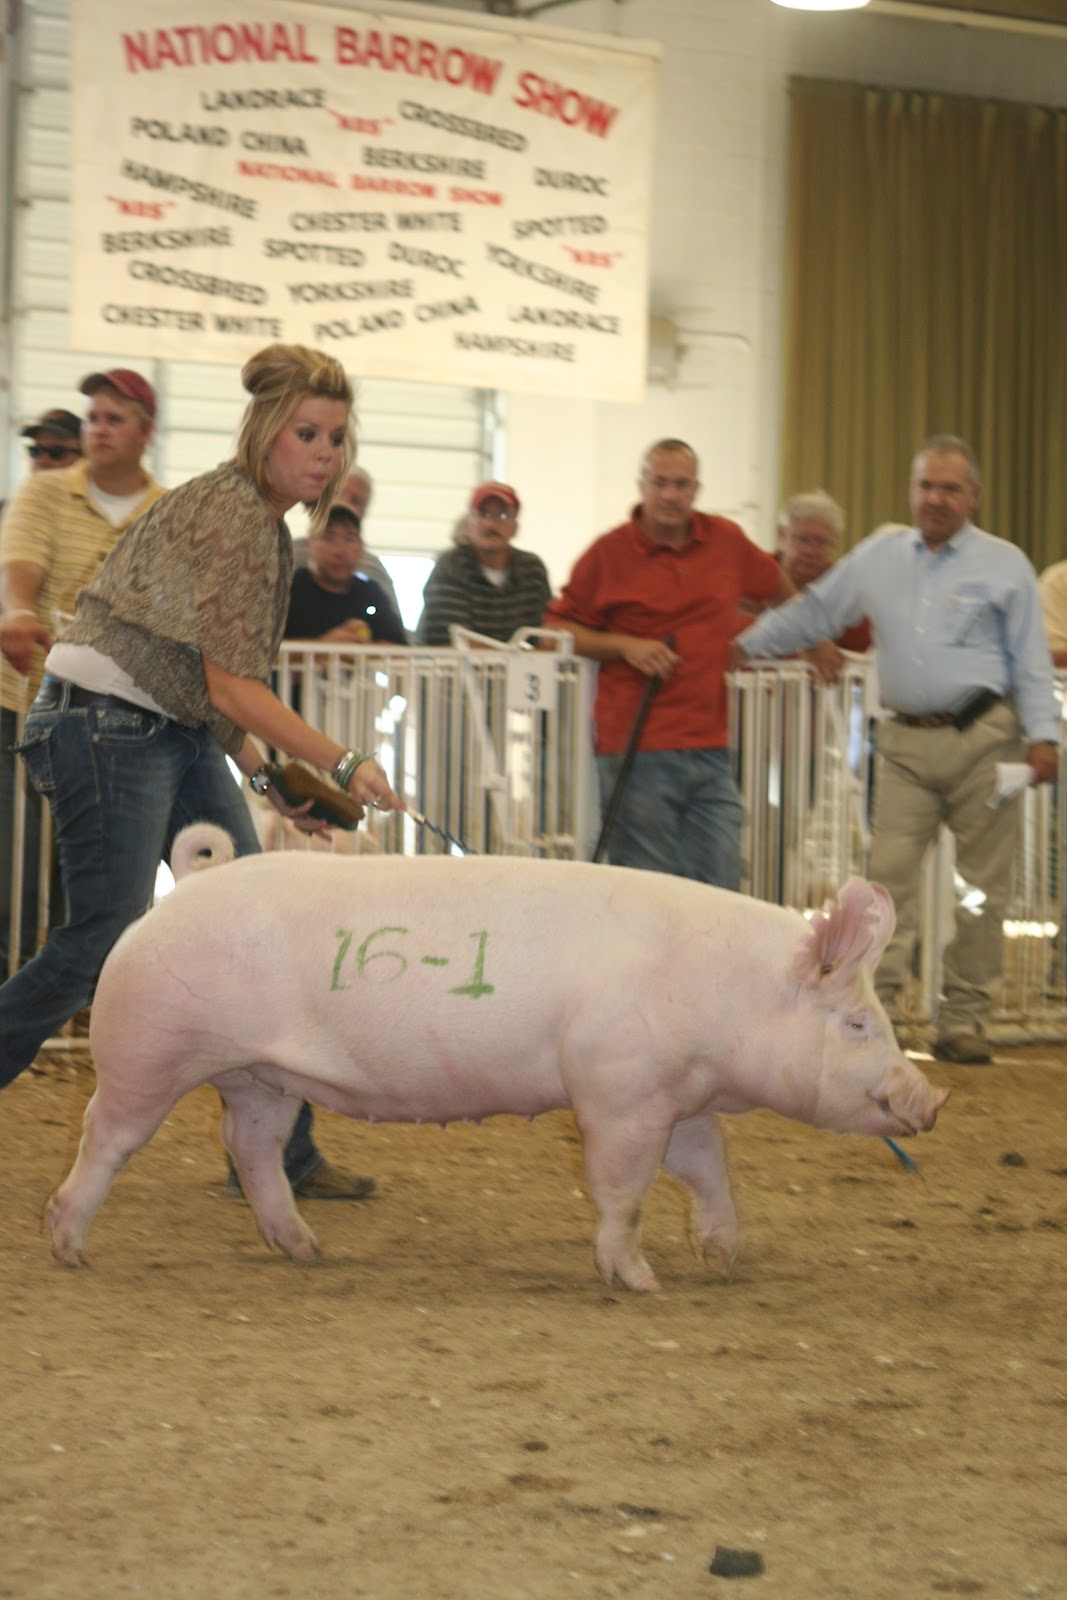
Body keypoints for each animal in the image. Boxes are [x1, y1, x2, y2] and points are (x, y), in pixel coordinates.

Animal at [46, 824, 948, 1291]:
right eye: (857, 1023)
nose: (930, 1100)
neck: (719, 994)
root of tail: (190, 882)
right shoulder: (618, 1091)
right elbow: (622, 1190)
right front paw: (640, 1280)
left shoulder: (676, 1096)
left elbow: (708, 1170)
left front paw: (721, 1258)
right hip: (149, 1046)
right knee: (105, 1135)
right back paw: (69, 1246)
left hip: (262, 1076)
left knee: (251, 1146)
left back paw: (306, 1250)